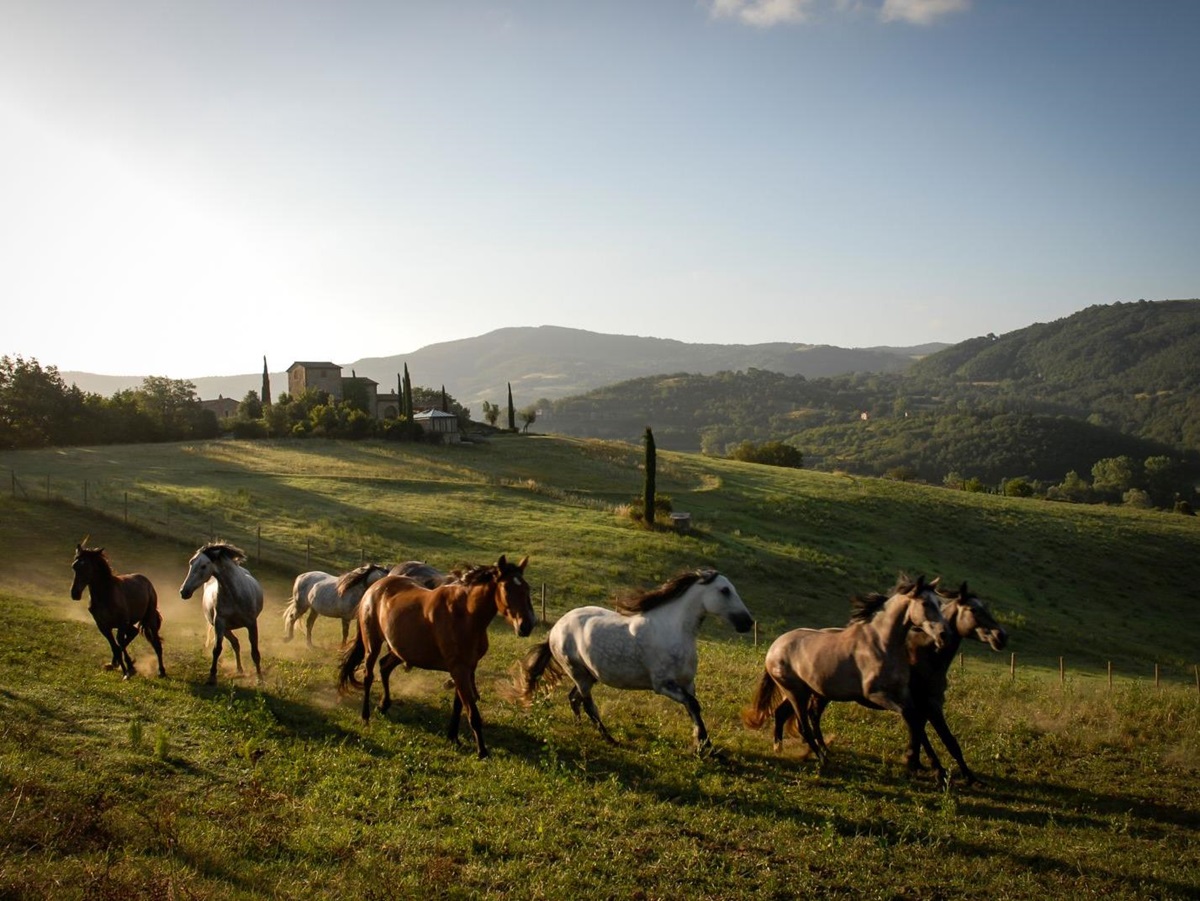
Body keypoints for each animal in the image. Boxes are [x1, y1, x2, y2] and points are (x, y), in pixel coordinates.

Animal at [70, 541, 166, 680]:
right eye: (74, 567)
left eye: (87, 567)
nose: (75, 594)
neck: (105, 595)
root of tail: (147, 581)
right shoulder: (103, 626)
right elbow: (115, 646)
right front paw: (123, 667)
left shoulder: (121, 623)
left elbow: (119, 642)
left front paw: (127, 671)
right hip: (129, 623)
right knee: (134, 632)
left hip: (149, 618)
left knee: (156, 643)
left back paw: (161, 671)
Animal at [179, 542, 264, 685]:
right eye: (191, 562)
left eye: (203, 566)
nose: (184, 591)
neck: (234, 595)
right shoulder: (219, 623)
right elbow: (217, 650)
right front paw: (212, 677)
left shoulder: (252, 624)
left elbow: (255, 652)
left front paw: (260, 679)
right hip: (225, 629)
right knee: (235, 643)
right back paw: (239, 669)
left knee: (236, 644)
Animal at [338, 555, 534, 758]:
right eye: (507, 588)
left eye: (527, 588)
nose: (526, 625)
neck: (465, 615)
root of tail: (375, 586)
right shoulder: (459, 670)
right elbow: (472, 712)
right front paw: (482, 751)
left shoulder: (466, 668)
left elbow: (459, 706)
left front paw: (453, 737)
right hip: (373, 644)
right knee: (369, 675)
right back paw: (365, 716)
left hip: (402, 650)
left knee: (384, 666)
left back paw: (384, 705)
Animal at [514, 569, 754, 753]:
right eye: (725, 590)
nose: (748, 622)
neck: (673, 630)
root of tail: (555, 629)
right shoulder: (663, 685)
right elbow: (693, 705)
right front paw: (705, 748)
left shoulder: (687, 683)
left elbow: (693, 709)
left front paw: (704, 745)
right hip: (578, 673)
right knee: (588, 704)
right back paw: (610, 739)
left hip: (590, 675)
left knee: (574, 698)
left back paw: (580, 726)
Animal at [743, 575, 947, 763]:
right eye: (925, 603)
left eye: (939, 602)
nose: (943, 634)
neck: (881, 644)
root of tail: (775, 647)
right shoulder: (875, 695)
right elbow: (910, 717)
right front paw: (916, 760)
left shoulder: (903, 693)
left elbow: (917, 720)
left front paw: (933, 766)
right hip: (796, 693)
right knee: (804, 725)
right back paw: (822, 758)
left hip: (806, 692)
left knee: (783, 713)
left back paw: (785, 748)